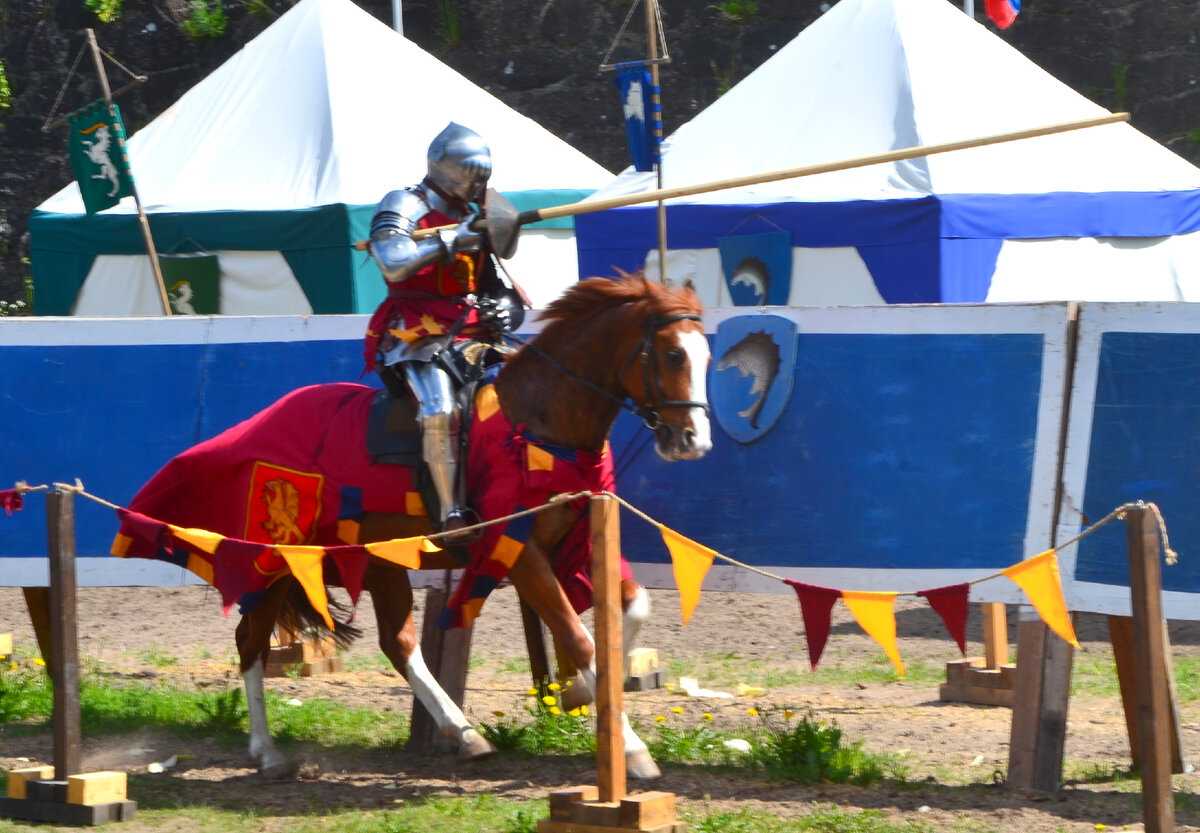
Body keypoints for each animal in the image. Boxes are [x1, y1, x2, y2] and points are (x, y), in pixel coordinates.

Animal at [113, 273, 710, 782]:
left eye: (706, 354)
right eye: (672, 353)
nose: (693, 440)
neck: (537, 419)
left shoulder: (576, 538)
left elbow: (629, 610)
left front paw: (583, 692)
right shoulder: (517, 551)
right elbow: (579, 636)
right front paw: (631, 748)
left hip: (375, 559)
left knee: (396, 643)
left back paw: (463, 733)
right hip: (277, 558)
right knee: (251, 640)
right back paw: (268, 752)